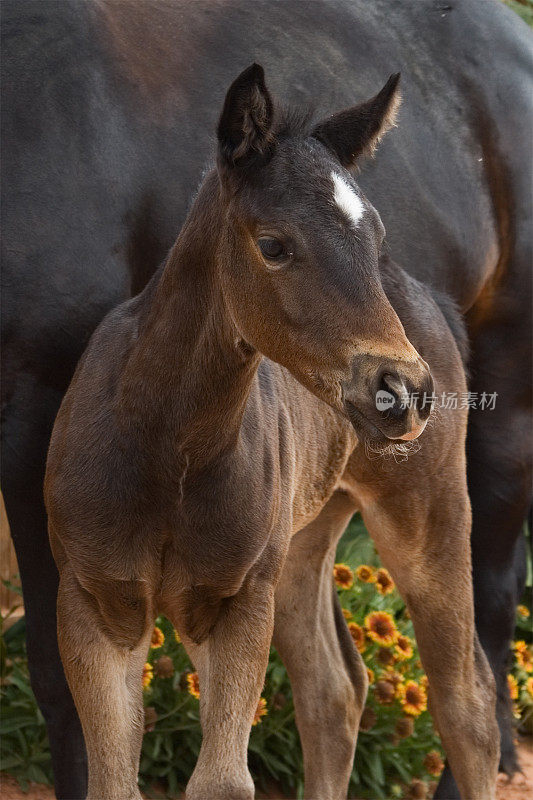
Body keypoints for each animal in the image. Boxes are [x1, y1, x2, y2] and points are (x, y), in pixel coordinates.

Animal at [45, 67, 498, 800]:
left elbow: (222, 782)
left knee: (467, 703)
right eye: (274, 246)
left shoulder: (239, 601)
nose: (402, 391)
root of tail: (431, 301)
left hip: (426, 504)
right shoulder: (95, 603)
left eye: (375, 242)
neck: (168, 446)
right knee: (332, 692)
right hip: (305, 537)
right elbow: (114, 781)